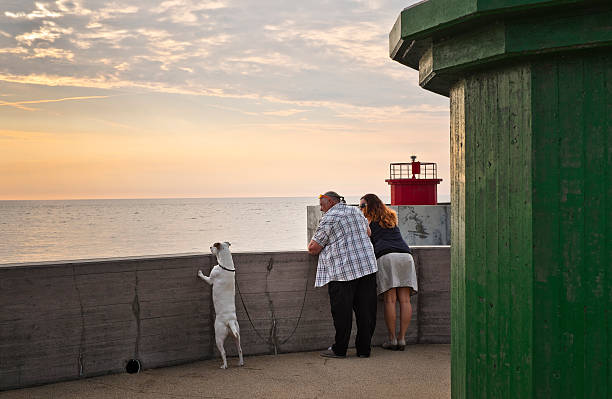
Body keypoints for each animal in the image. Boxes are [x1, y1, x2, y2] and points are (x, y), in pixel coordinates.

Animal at [197, 242, 243, 370]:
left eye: (213, 245)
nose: (209, 247)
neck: (226, 266)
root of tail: (230, 320)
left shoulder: (211, 279)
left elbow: (206, 278)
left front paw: (200, 273)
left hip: (218, 336)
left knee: (223, 352)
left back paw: (224, 365)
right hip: (237, 335)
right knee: (240, 349)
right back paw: (240, 362)